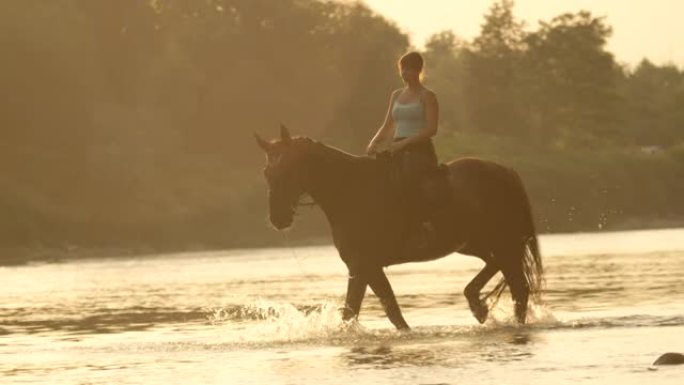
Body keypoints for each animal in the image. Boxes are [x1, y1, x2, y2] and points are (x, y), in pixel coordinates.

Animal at [254, 124, 544, 328]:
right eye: (267, 172)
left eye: (288, 170)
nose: (278, 219)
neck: (351, 191)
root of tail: (504, 171)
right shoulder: (362, 268)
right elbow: (371, 310)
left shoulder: (365, 265)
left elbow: (376, 311)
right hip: (475, 243)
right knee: (500, 269)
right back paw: (477, 304)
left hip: (502, 241)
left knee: (518, 286)